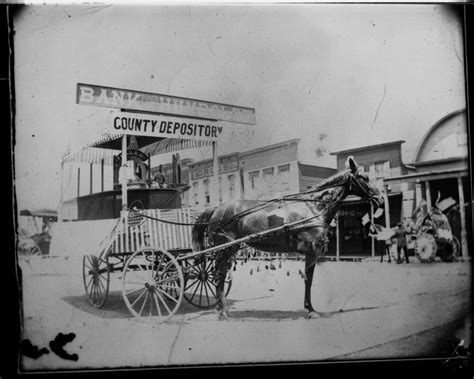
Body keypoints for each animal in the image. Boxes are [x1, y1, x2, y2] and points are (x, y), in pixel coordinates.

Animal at [193, 156, 386, 320]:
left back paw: (222, 309)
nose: (381, 199)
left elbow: (308, 279)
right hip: (225, 249)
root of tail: (217, 208)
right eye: (364, 177)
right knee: (218, 276)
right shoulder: (312, 252)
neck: (312, 208)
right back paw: (223, 311)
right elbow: (308, 280)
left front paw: (309, 308)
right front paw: (310, 310)